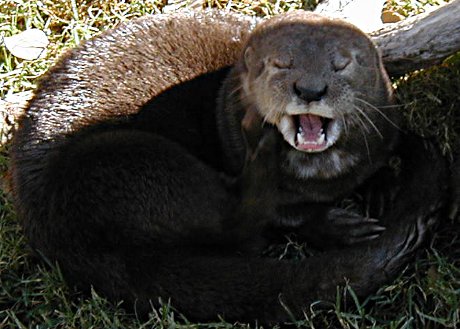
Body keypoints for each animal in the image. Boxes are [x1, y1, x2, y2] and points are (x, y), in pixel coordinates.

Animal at [10, 9, 448, 322]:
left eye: (341, 65)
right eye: (280, 64)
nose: (310, 89)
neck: (326, 181)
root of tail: (61, 239)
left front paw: (380, 186)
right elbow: (286, 215)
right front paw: (337, 224)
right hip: (124, 161)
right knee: (236, 222)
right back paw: (261, 149)